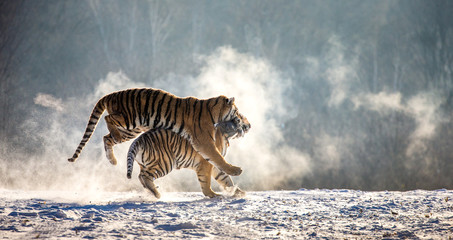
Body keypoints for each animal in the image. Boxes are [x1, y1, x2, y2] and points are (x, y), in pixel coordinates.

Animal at [67, 87, 244, 175]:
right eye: (236, 111)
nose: (241, 120)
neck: (214, 111)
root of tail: (111, 95)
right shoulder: (203, 141)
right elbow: (217, 157)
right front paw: (235, 170)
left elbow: (215, 158)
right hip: (129, 119)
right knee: (107, 119)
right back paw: (114, 140)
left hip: (131, 130)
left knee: (106, 138)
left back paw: (113, 161)